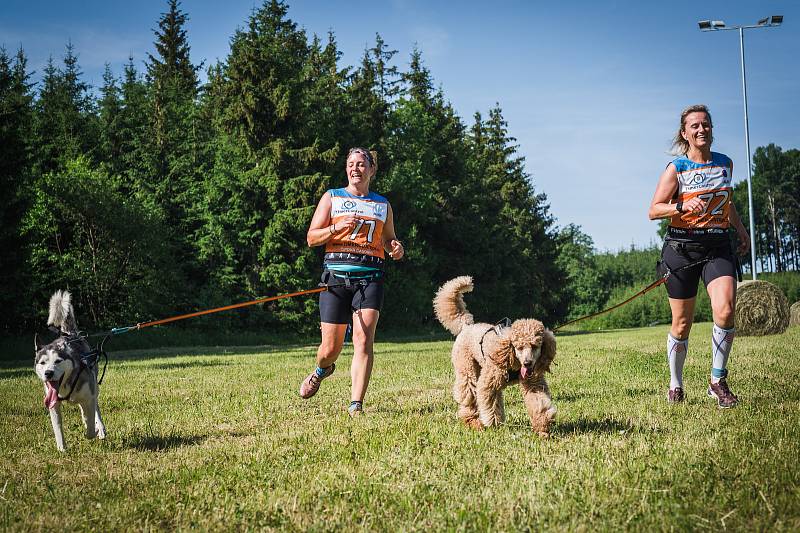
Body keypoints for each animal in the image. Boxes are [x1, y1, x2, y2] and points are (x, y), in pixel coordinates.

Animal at [34, 288, 105, 450]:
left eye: (58, 361)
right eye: (42, 362)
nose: (48, 373)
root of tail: (70, 334)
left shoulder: (89, 393)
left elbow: (90, 422)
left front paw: (92, 431)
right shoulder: (53, 403)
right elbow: (58, 427)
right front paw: (62, 449)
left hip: (94, 385)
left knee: (95, 408)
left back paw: (100, 428)